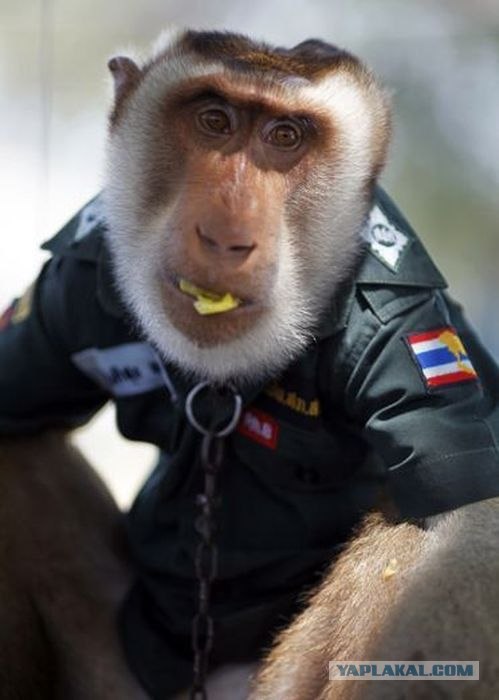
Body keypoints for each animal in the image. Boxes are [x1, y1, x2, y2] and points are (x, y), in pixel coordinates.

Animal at [1, 27, 499, 700]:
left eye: (285, 136)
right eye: (215, 120)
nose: (226, 237)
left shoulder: (403, 323)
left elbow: (454, 532)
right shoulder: (71, 284)